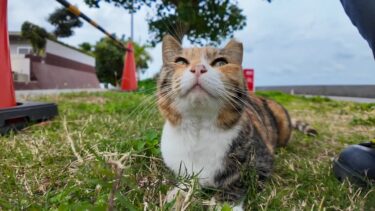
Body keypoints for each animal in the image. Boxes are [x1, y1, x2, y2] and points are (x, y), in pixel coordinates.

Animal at [156, 34, 318, 209]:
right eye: (180, 61)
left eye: (220, 62)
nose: (199, 68)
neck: (199, 129)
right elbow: (187, 181)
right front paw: (178, 195)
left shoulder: (262, 161)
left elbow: (239, 181)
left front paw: (223, 205)